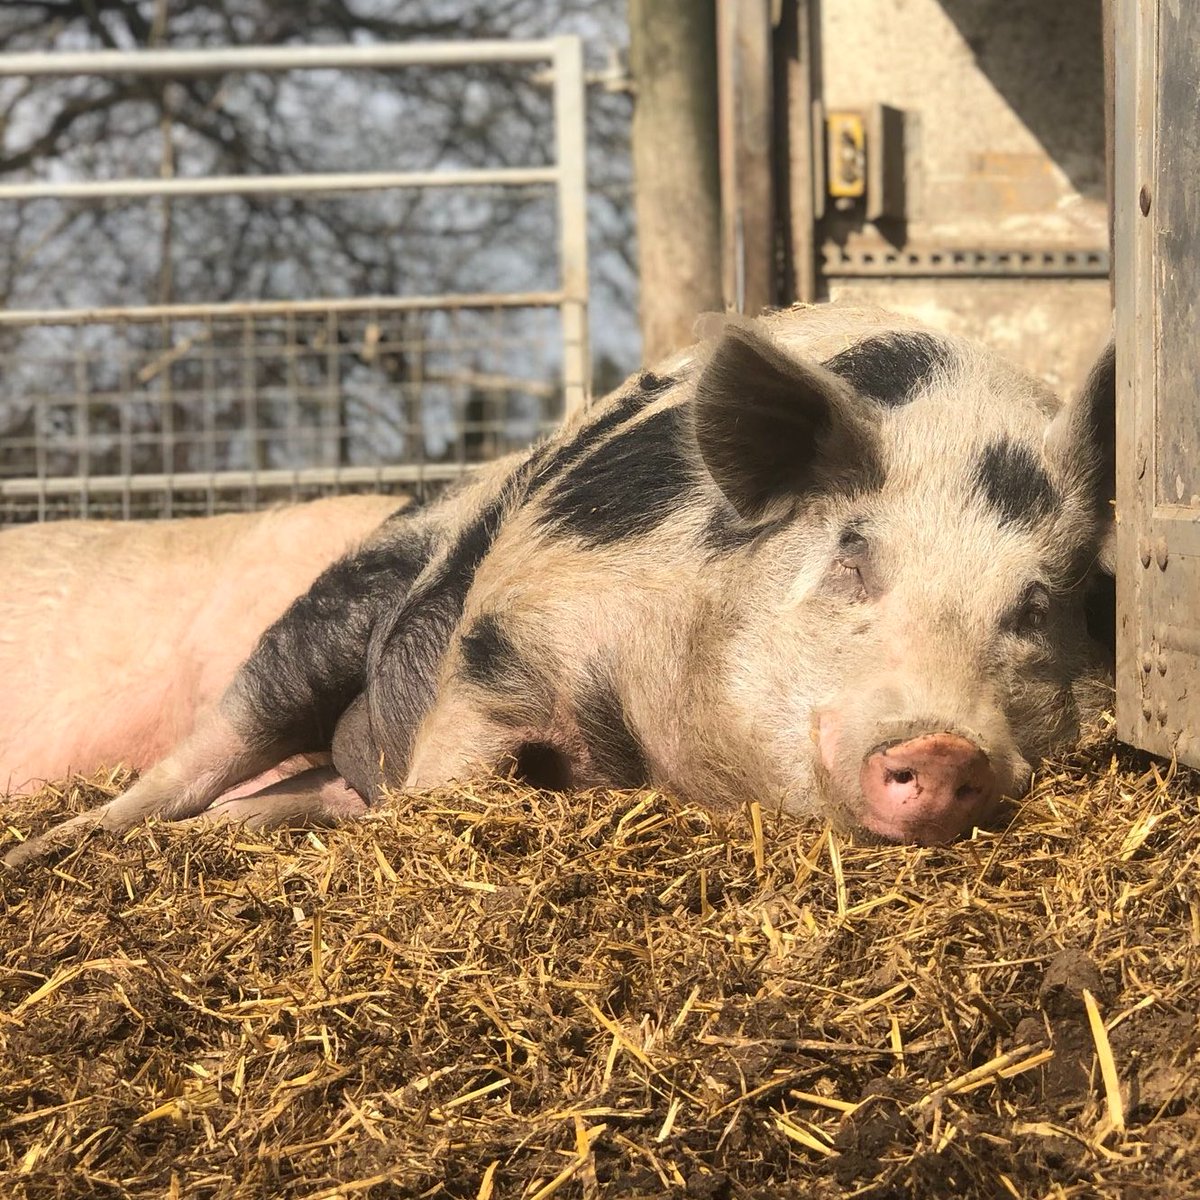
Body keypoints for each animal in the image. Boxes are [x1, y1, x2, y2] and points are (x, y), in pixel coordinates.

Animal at [1, 304, 1115, 870]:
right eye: (853, 556)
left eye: (1034, 608)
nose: (940, 744)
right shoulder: (508, 632)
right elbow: (455, 768)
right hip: (331, 612)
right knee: (211, 748)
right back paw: (55, 848)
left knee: (287, 792)